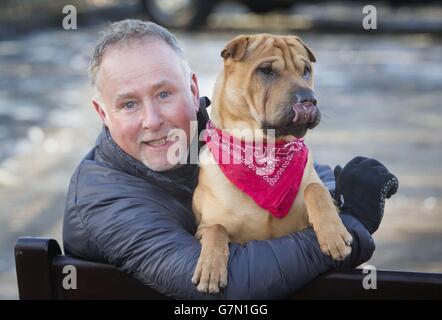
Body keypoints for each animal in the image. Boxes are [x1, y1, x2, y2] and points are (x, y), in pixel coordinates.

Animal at [191, 33, 352, 294]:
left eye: (306, 70)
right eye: (266, 70)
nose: (309, 100)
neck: (264, 150)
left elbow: (315, 189)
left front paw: (333, 234)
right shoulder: (203, 227)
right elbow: (217, 229)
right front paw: (210, 268)